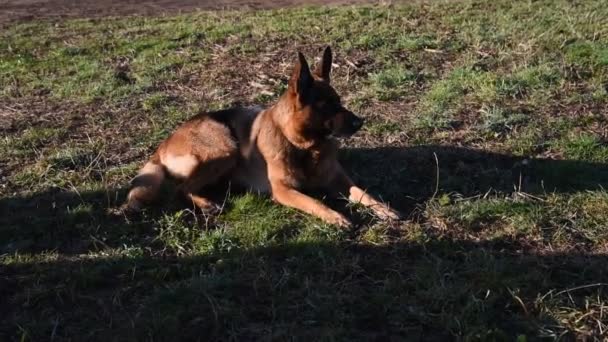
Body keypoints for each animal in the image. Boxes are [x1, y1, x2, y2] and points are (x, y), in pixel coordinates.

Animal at [124, 46, 400, 227]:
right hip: (226, 149)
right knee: (181, 188)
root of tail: (163, 145)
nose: (360, 122)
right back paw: (207, 204)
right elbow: (315, 202)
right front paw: (336, 216)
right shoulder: (284, 190)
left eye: (339, 102)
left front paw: (384, 209)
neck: (303, 146)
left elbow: (362, 192)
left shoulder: (339, 179)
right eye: (326, 105)